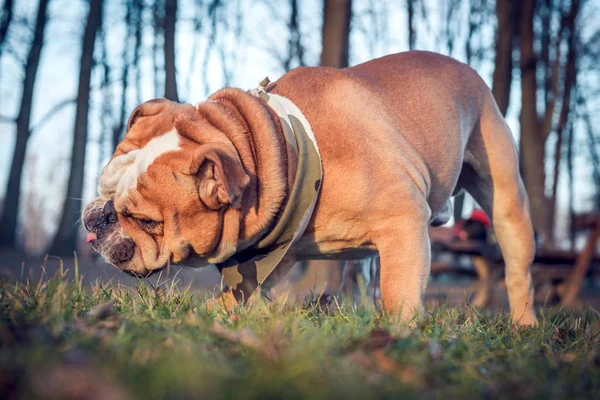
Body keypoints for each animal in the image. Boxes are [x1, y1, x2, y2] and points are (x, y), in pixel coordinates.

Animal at [82, 50, 536, 324]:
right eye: (104, 185)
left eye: (145, 220)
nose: (99, 215)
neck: (286, 152)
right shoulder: (274, 251)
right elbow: (241, 290)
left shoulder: (404, 222)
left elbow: (398, 293)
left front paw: (399, 334)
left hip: (505, 195)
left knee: (517, 269)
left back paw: (523, 325)